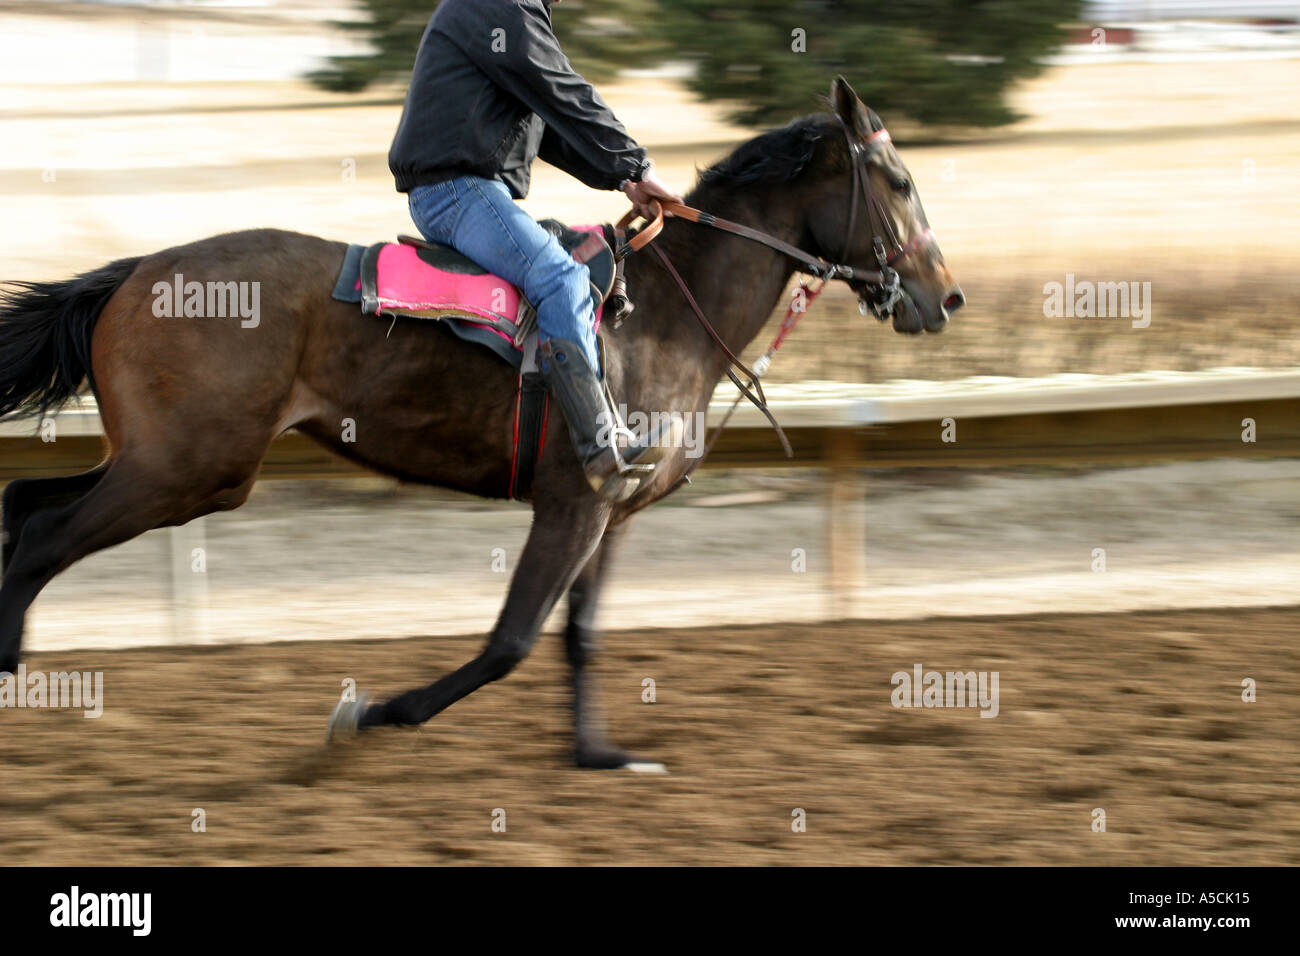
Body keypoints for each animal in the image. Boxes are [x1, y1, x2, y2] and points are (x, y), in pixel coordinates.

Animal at [2, 80, 967, 770]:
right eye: (901, 182)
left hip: (167, 464)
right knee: (45, 533)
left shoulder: (610, 513)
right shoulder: (573, 503)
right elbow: (511, 640)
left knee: (24, 504)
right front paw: (373, 712)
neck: (661, 314)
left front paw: (597, 753)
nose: (945, 297)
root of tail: (134, 274)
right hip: (188, 469)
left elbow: (579, 634)